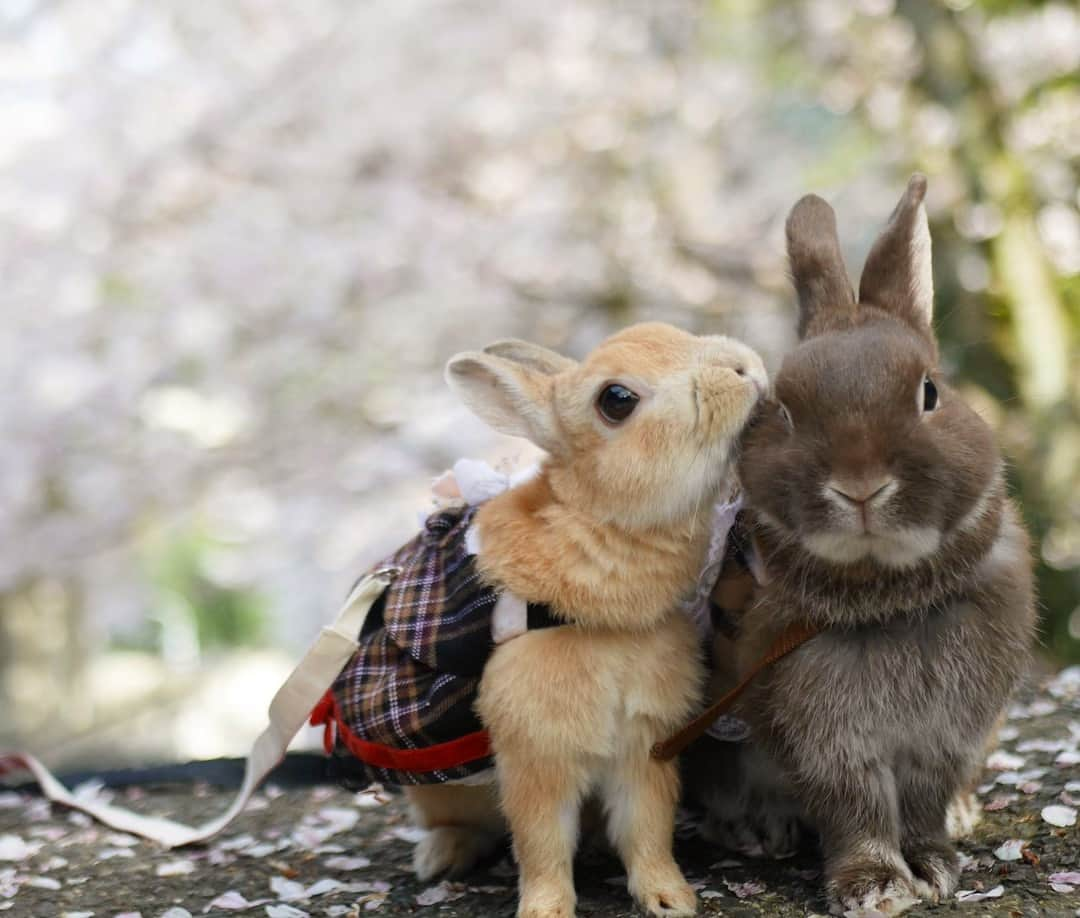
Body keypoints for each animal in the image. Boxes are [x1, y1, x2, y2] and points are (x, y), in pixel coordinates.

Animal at [408, 324, 773, 915]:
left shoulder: (643, 743)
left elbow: (646, 828)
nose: (747, 370)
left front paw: (670, 899)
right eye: (616, 400)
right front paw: (545, 909)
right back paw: (439, 857)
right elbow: (542, 843)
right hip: (441, 791)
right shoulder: (537, 753)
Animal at [708, 174, 1036, 911]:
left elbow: (919, 803)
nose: (860, 488)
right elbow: (853, 805)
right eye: (784, 411)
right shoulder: (821, 728)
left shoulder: (944, 733)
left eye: (930, 392)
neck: (885, 593)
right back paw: (761, 831)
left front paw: (935, 867)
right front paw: (875, 888)